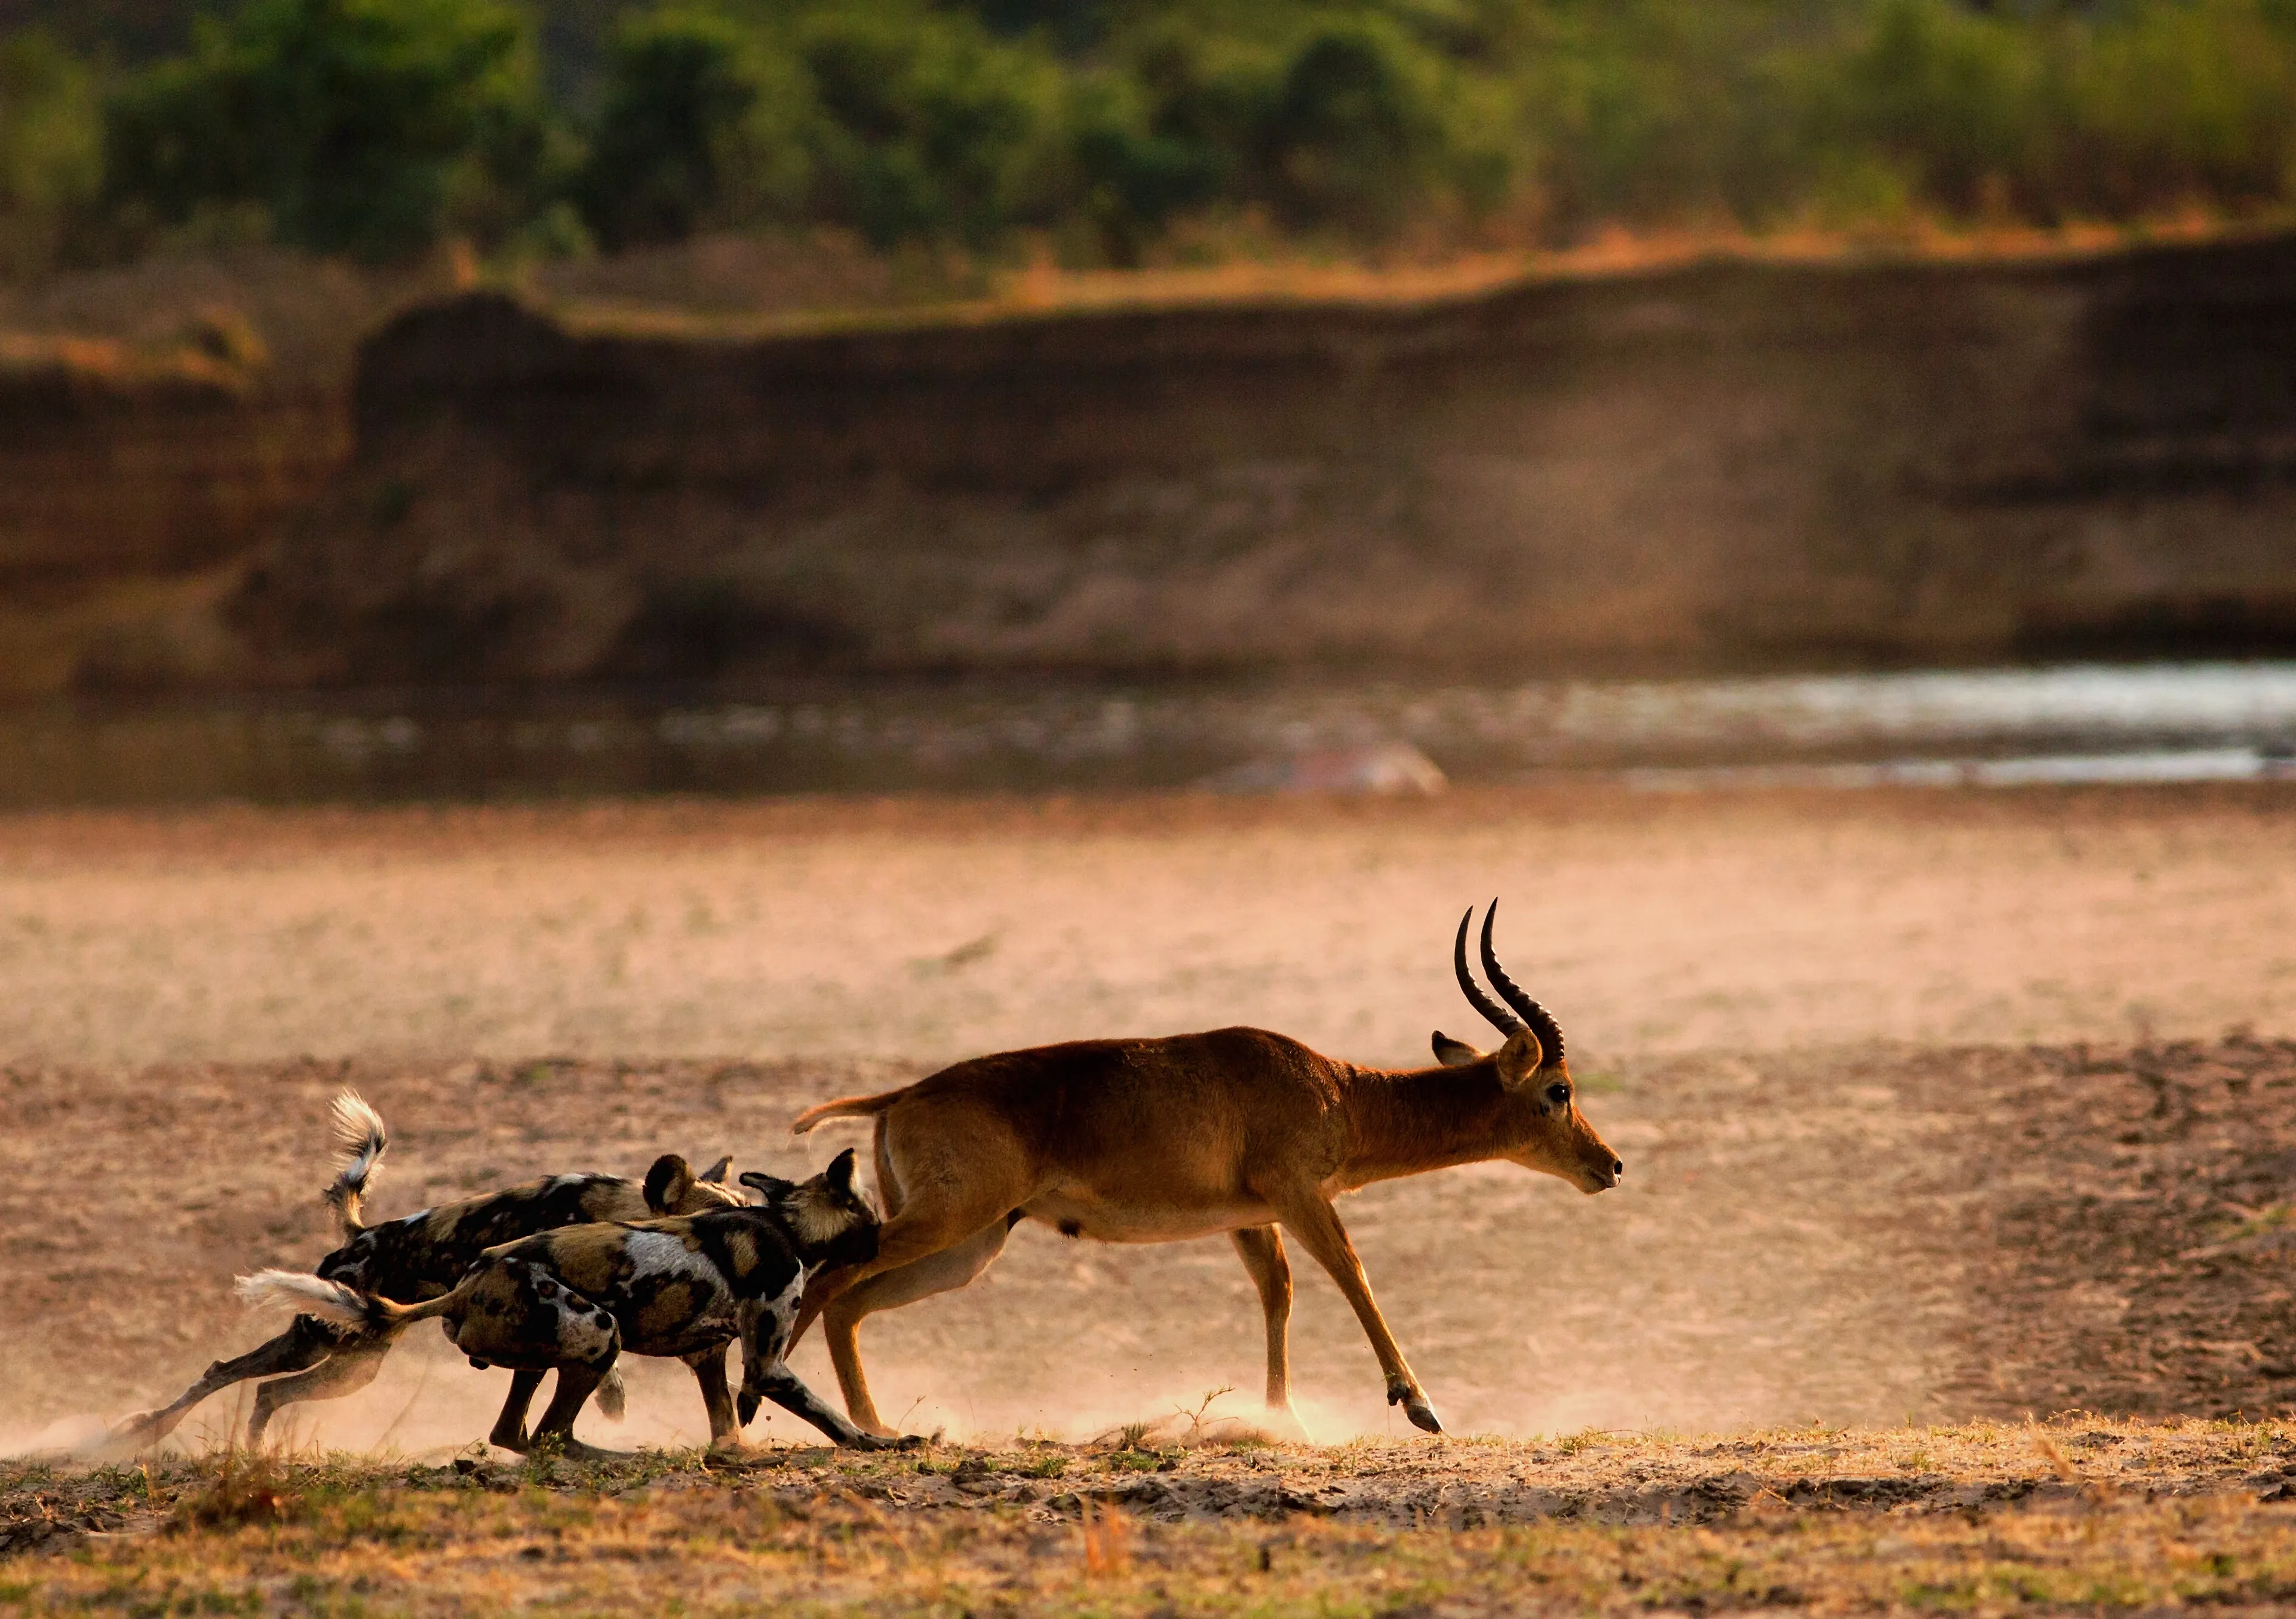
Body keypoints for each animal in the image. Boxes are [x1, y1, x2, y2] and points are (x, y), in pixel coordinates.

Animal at [786, 901, 1621, 1437]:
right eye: (1558, 1090)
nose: (1609, 1166)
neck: (1337, 1089)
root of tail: (901, 1094)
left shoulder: (1252, 1218)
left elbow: (1278, 1294)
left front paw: (1283, 1418)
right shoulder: (1300, 1196)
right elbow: (1352, 1273)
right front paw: (1418, 1406)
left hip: (970, 1245)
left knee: (847, 1303)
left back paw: (871, 1425)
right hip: (949, 1222)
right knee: (825, 1280)